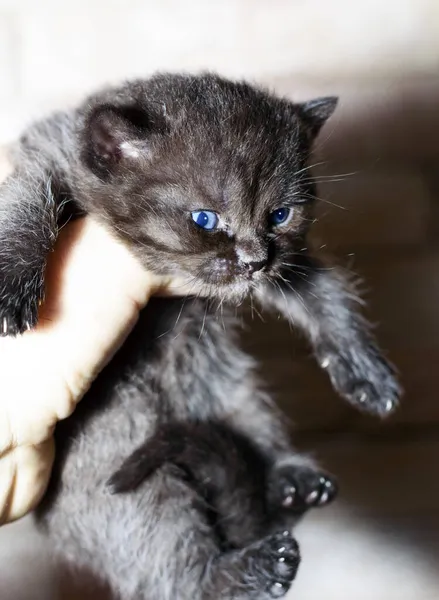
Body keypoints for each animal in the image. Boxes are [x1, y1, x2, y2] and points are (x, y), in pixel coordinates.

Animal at [0, 72, 402, 596]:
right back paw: (247, 569)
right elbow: (25, 199)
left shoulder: (286, 266)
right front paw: (12, 278)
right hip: (127, 467)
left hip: (229, 389)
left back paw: (291, 480)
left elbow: (325, 294)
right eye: (205, 219)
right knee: (174, 571)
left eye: (279, 215)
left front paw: (363, 369)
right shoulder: (44, 154)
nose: (254, 260)